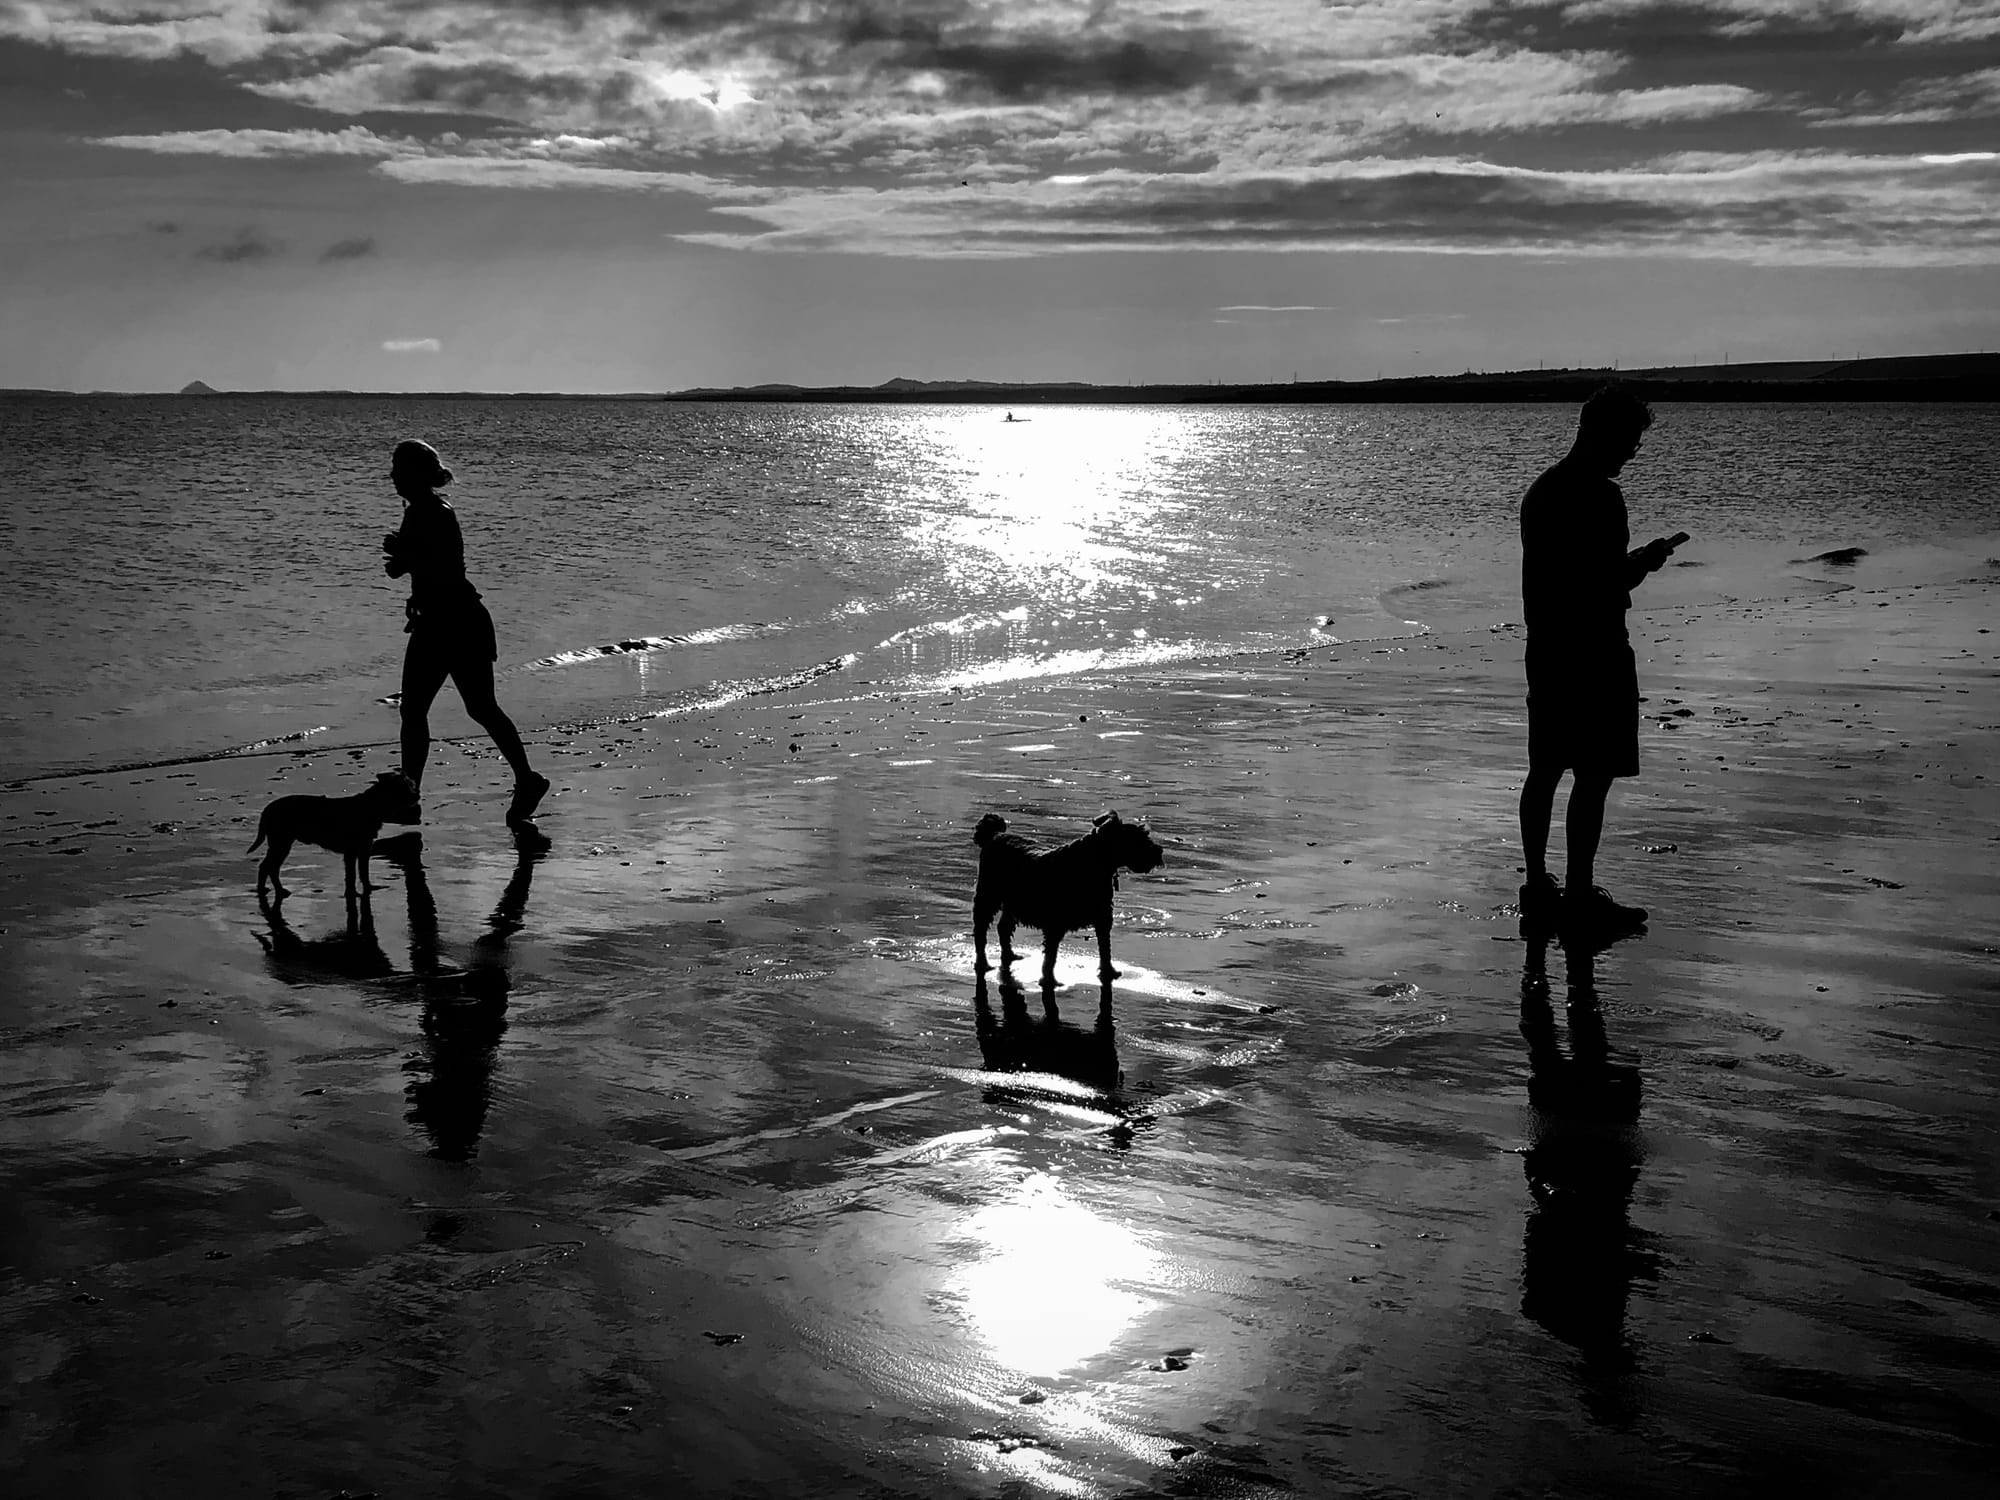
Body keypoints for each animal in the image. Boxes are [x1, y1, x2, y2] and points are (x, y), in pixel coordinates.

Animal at [250, 776, 422, 904]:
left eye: (411, 785)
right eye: (404, 787)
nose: (417, 795)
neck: (371, 806)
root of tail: (268, 809)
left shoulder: (362, 851)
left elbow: (361, 873)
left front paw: (365, 889)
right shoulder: (353, 852)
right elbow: (354, 875)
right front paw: (353, 893)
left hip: (281, 843)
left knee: (270, 867)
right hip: (281, 843)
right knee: (268, 867)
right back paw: (272, 890)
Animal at [972, 812, 1168, 988]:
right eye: (1139, 838)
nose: (1159, 852)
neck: (1095, 861)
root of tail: (994, 835)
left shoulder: (1103, 917)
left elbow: (1105, 947)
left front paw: (1108, 972)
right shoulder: (1055, 923)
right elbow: (1050, 956)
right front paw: (1049, 980)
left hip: (1012, 902)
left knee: (1004, 927)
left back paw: (1010, 955)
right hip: (988, 896)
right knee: (981, 929)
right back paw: (983, 963)